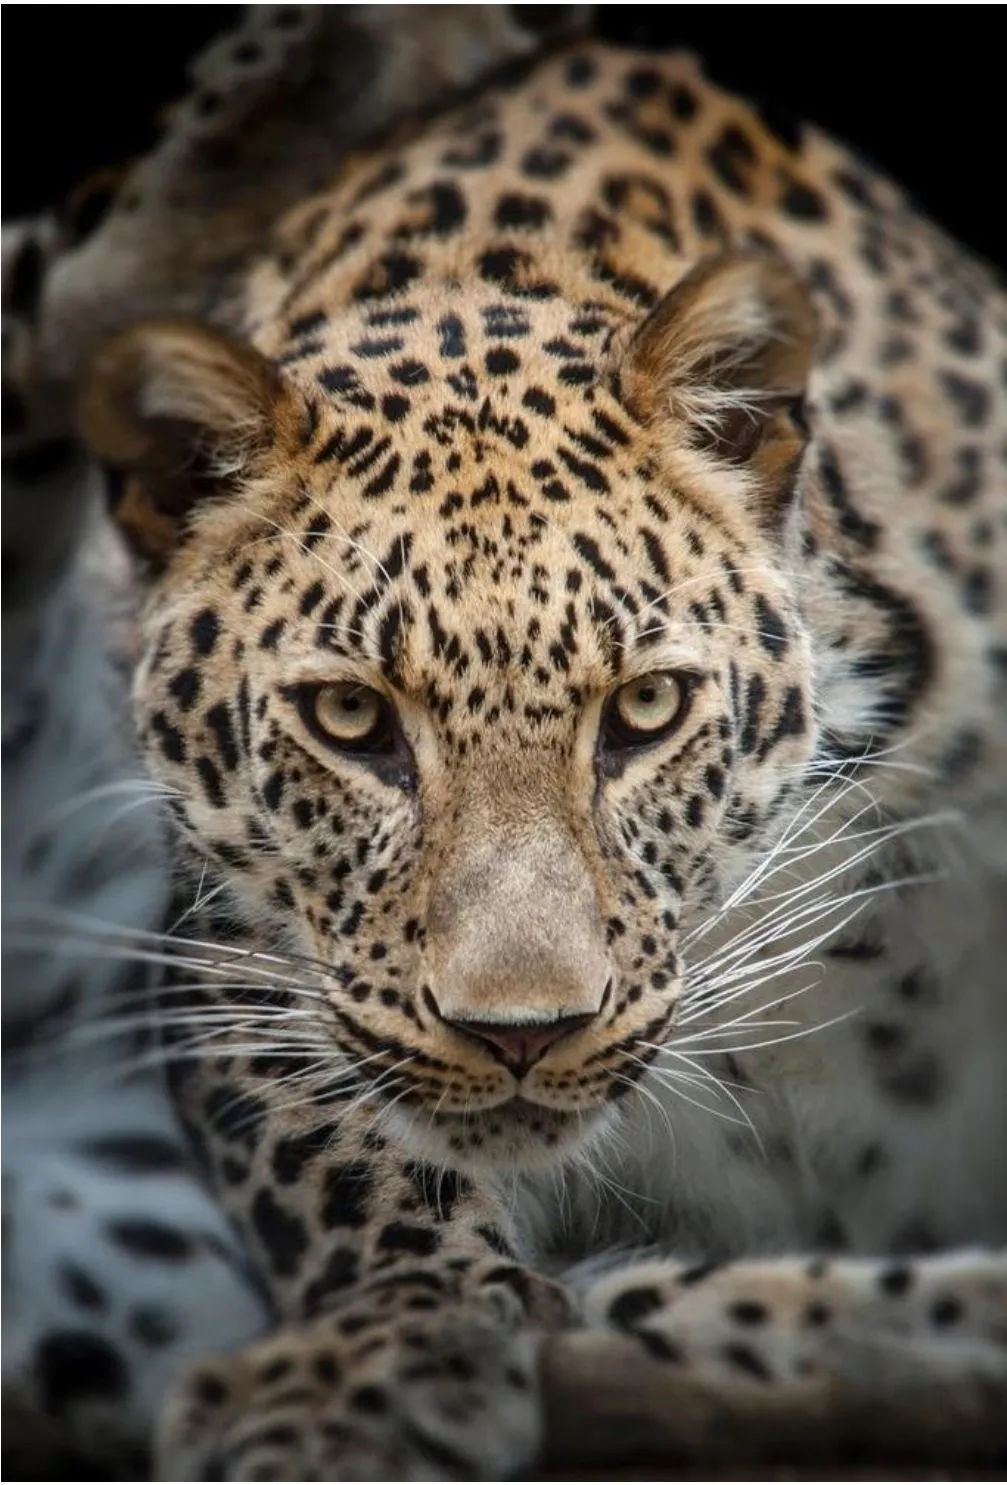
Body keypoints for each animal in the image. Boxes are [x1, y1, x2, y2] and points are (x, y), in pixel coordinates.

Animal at [16, 8, 1007, 1480]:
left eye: (644, 712)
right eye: (351, 719)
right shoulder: (227, 955)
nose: (521, 1037)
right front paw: (373, 1357)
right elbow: (341, 1157)